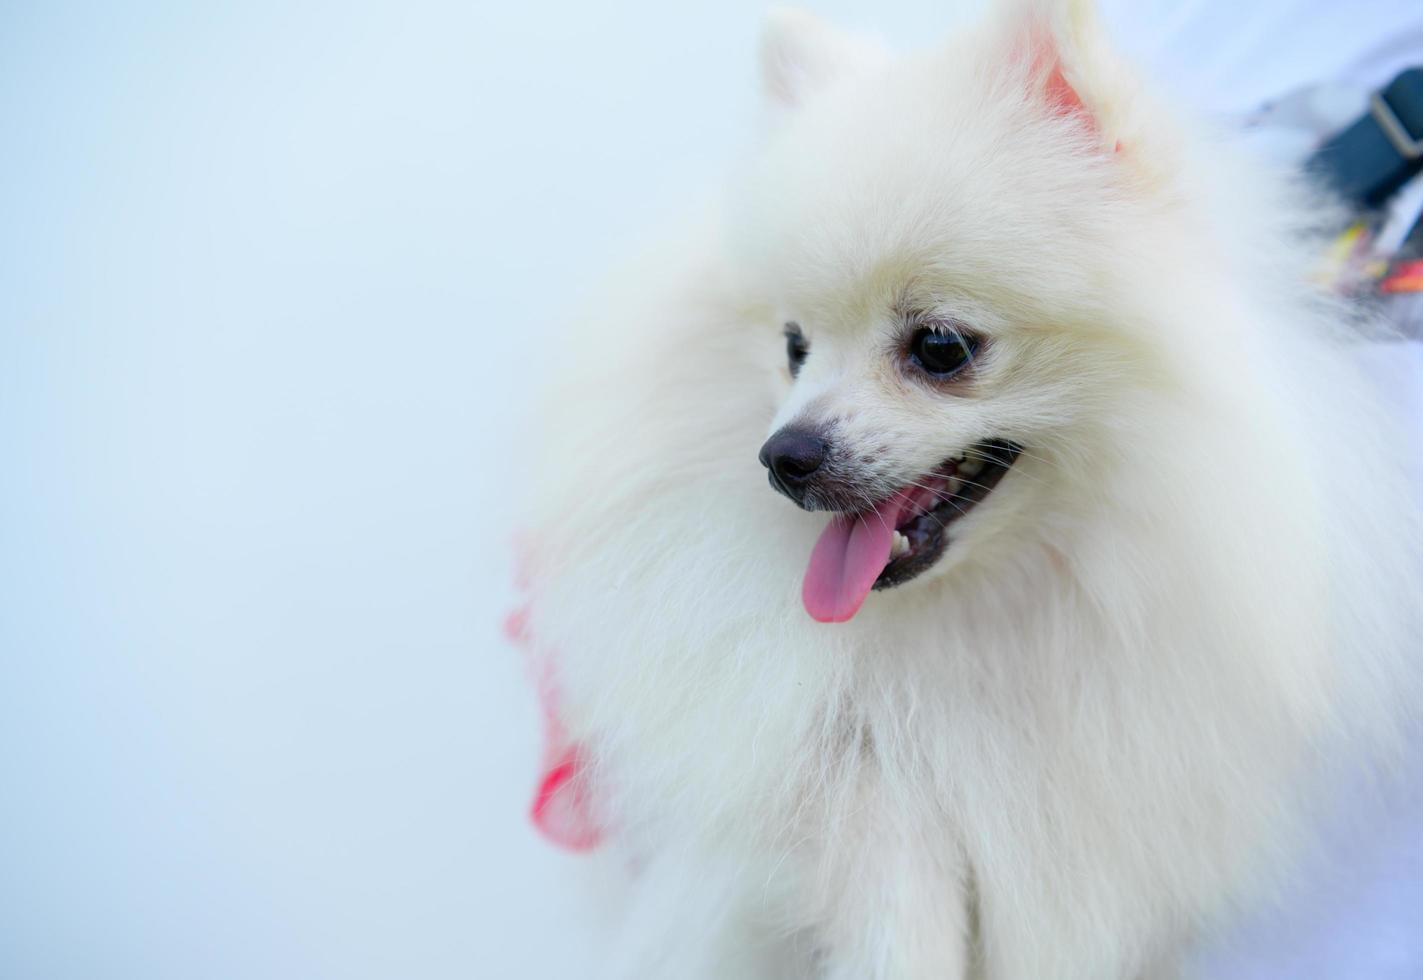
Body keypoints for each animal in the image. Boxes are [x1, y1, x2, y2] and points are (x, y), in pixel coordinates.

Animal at [517, 1, 1423, 978]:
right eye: (793, 345)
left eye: (940, 346)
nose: (783, 456)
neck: (988, 613)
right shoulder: (864, 789)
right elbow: (890, 914)